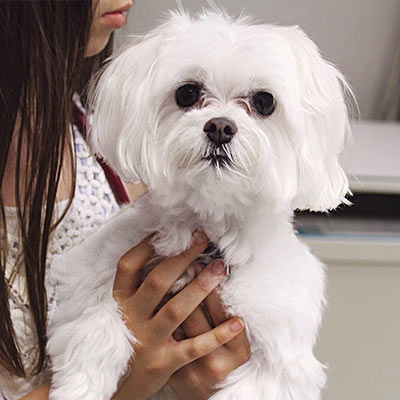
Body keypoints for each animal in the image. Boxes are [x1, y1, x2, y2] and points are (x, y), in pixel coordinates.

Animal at [47, 9, 352, 400]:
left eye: (264, 101)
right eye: (188, 93)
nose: (220, 127)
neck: (212, 233)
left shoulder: (279, 362)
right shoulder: (92, 280)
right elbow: (96, 322)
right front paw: (80, 387)